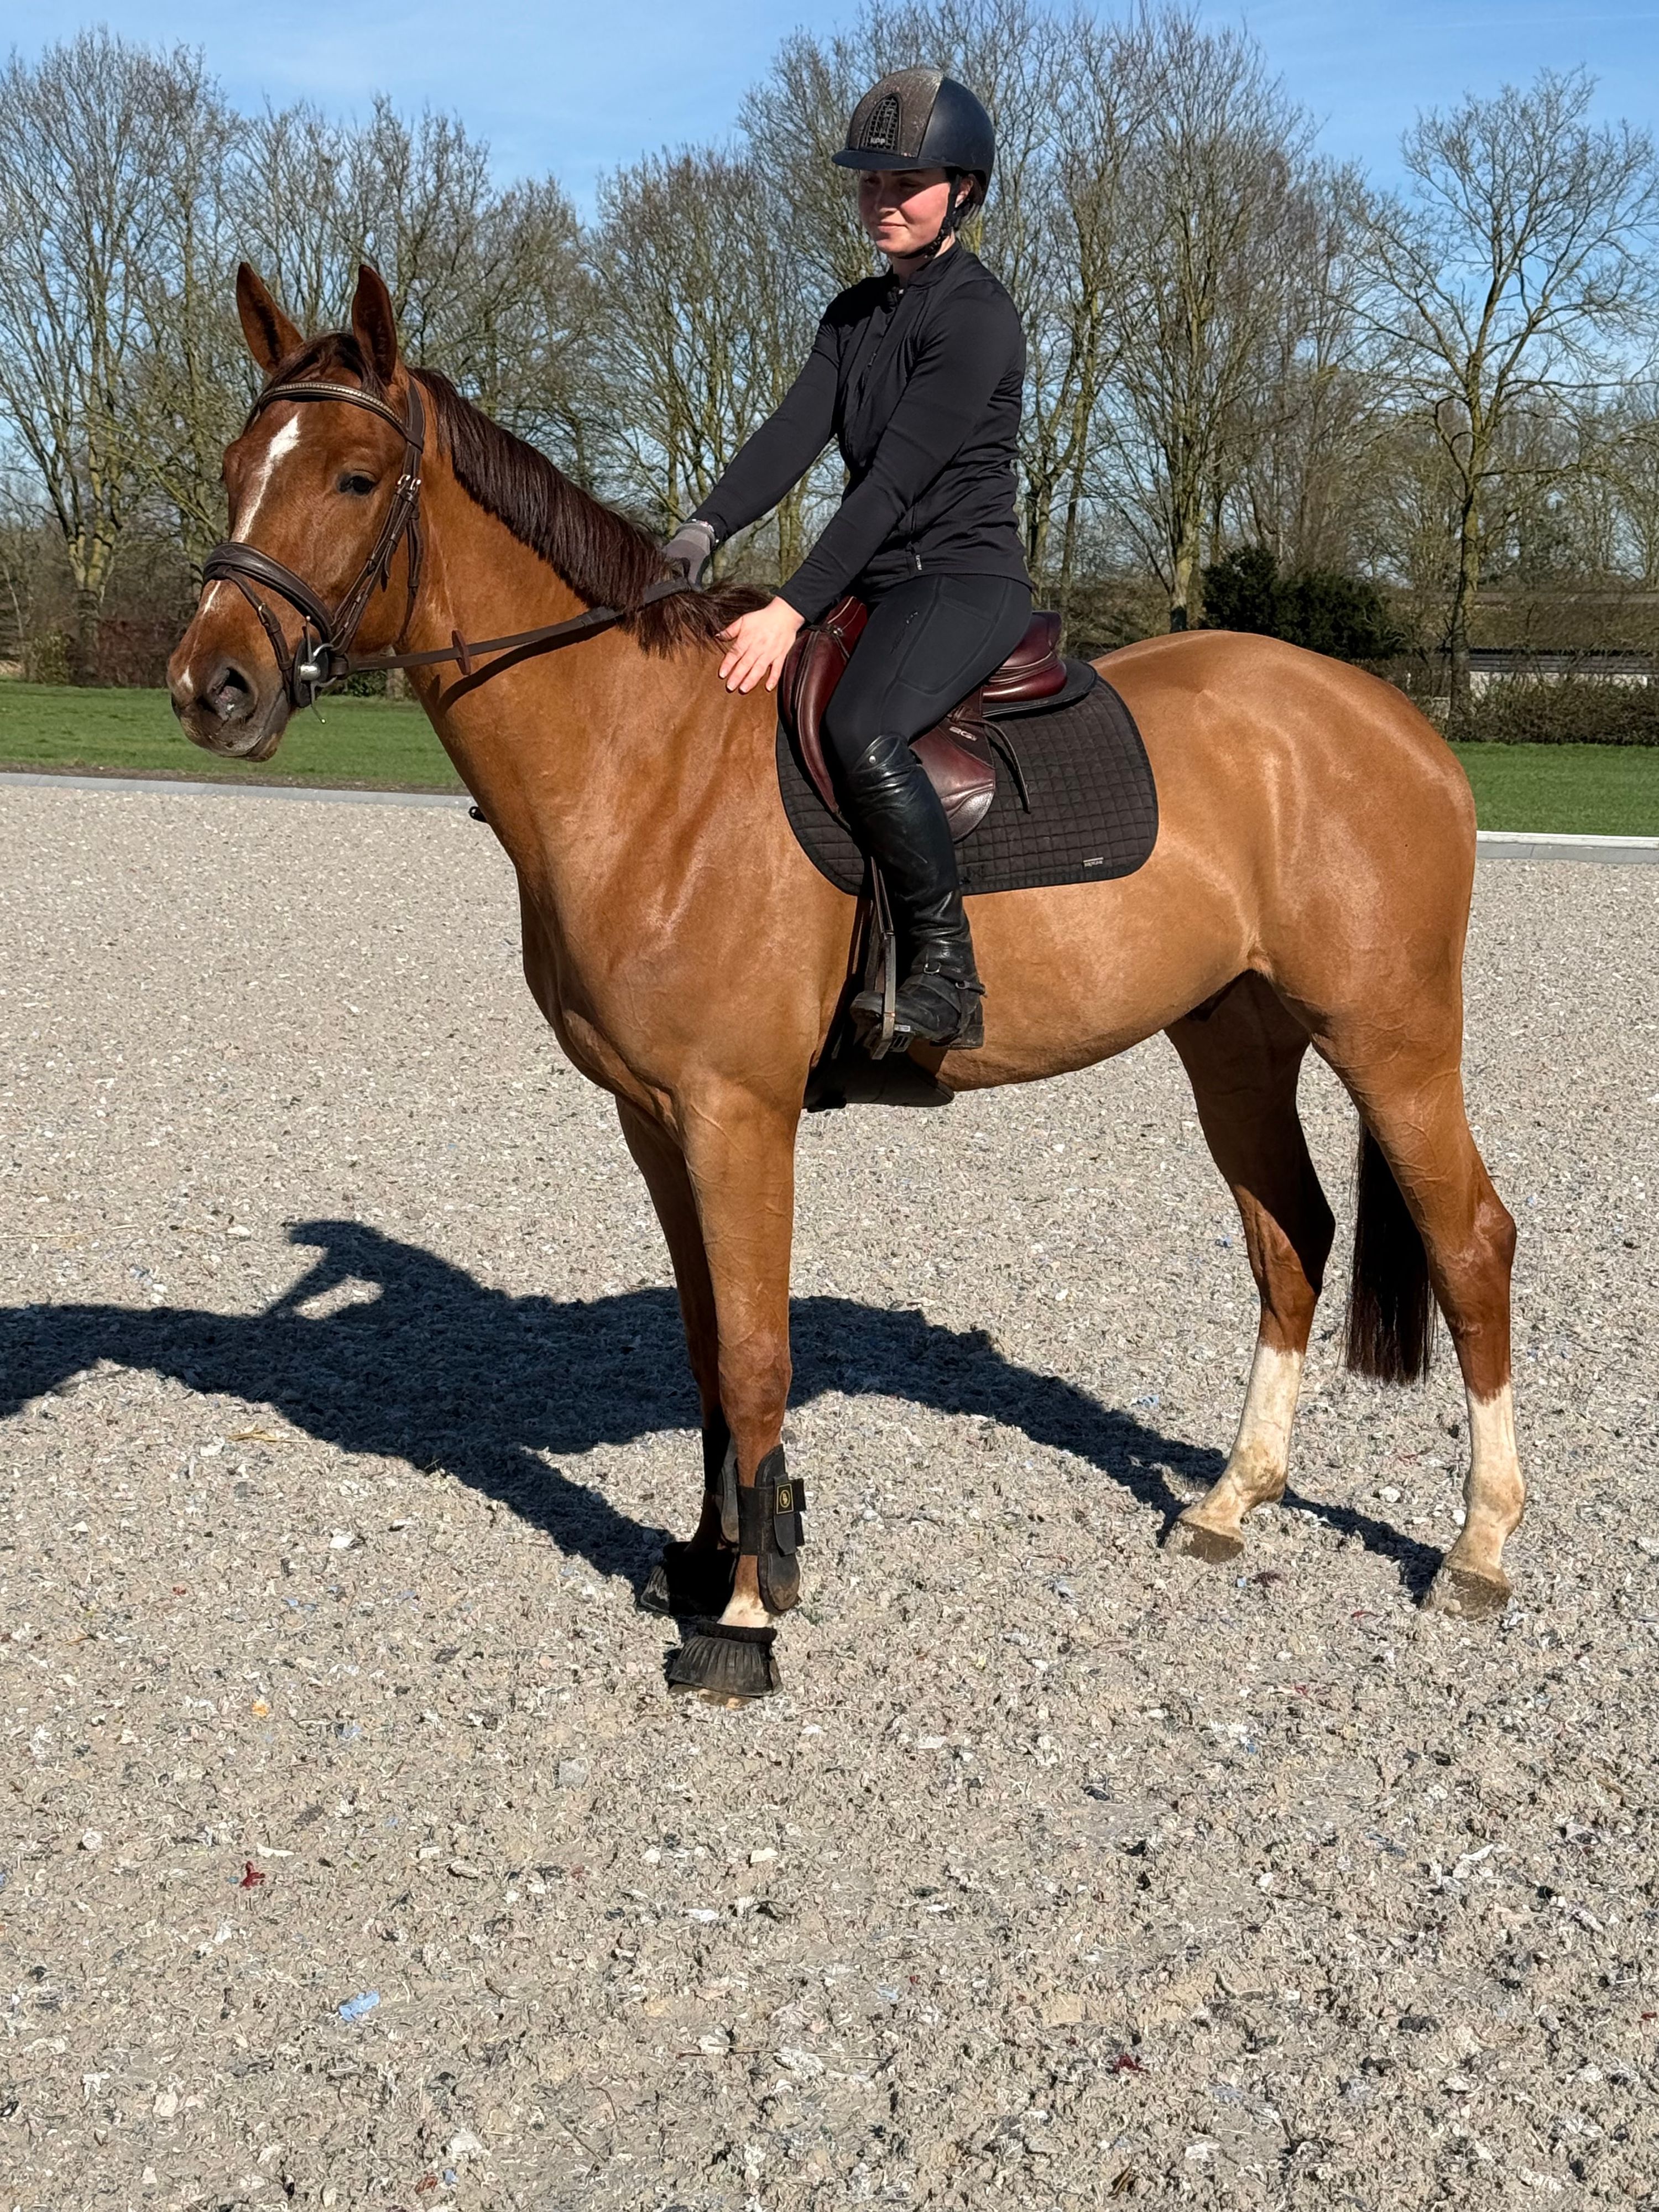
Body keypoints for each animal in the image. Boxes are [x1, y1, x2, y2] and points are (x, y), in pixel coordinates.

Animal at [167, 264, 1523, 1701]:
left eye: (357, 476)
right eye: (237, 467)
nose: (211, 686)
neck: (641, 757)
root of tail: (1392, 720)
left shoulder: (738, 1113)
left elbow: (758, 1353)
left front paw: (748, 1615)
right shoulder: (654, 1118)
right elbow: (707, 1346)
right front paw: (721, 1555)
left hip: (1390, 1036)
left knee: (1468, 1243)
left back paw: (1478, 1548)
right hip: (1234, 1036)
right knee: (1289, 1238)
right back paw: (1230, 1499)